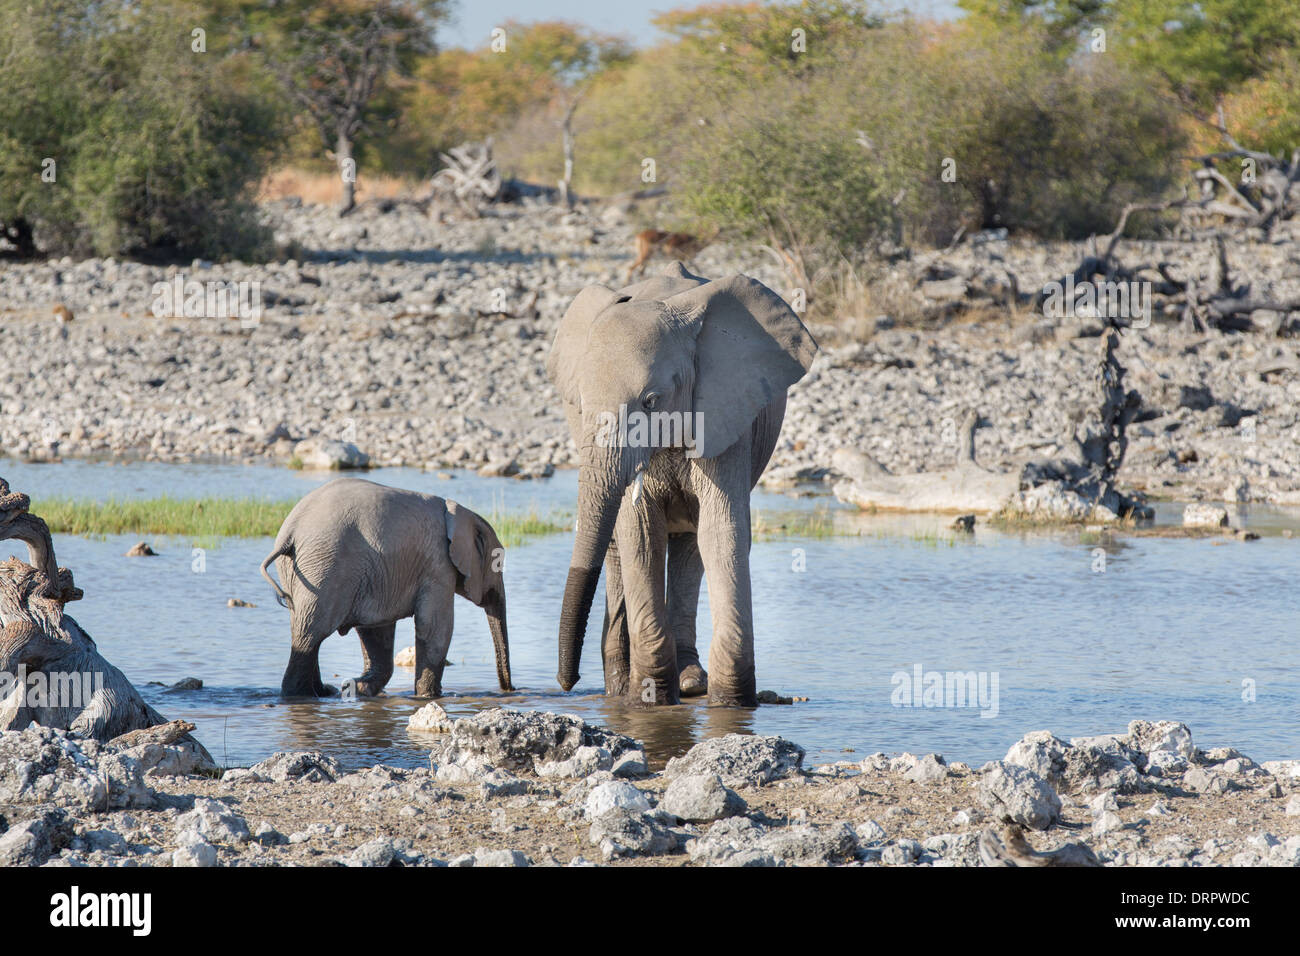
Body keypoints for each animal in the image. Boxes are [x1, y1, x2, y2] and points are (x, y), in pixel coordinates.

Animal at [258, 481, 512, 697]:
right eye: (499, 564)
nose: (509, 690)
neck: (462, 513)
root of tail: (290, 532)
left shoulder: (381, 575)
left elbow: (376, 630)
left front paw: (358, 687)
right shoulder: (438, 567)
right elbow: (434, 626)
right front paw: (429, 696)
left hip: (307, 569)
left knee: (305, 628)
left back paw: (326, 691)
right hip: (325, 568)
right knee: (311, 634)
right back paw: (305, 694)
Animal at [546, 265, 811, 707]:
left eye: (651, 401)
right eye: (581, 405)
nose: (566, 682)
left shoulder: (725, 411)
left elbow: (721, 531)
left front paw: (731, 703)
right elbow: (640, 533)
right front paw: (648, 698)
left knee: (691, 545)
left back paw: (688, 683)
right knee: (617, 544)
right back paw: (620, 689)